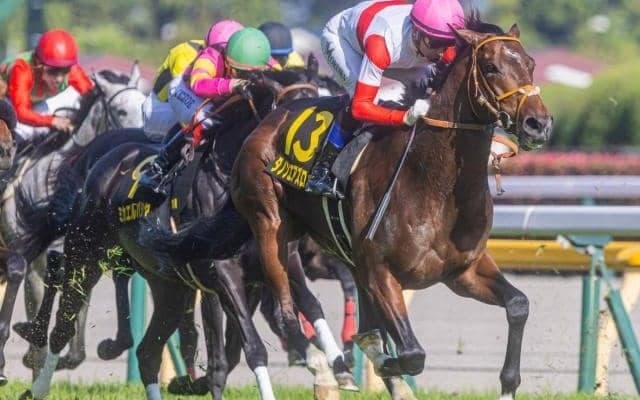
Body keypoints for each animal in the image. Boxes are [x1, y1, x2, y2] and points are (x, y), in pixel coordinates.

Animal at [17, 68, 352, 400]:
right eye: (296, 114)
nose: (319, 173)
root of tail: (102, 161)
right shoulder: (221, 273)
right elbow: (248, 349)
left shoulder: (275, 267)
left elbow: (306, 307)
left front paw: (336, 366)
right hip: (86, 255)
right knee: (63, 323)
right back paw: (37, 384)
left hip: (168, 287)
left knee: (147, 352)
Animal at [146, 17, 553, 399]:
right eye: (491, 66)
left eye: (530, 63)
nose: (538, 123)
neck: (433, 184)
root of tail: (265, 124)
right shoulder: (380, 272)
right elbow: (411, 353)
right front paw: (373, 360)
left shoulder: (463, 271)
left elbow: (519, 305)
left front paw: (507, 385)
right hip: (271, 228)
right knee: (285, 313)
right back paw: (325, 365)